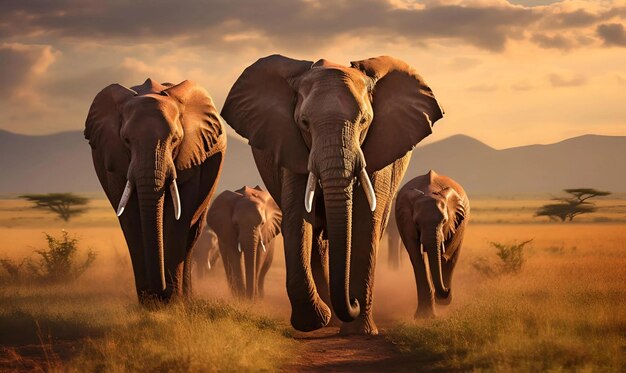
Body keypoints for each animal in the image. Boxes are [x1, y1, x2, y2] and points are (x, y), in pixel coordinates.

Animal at [84, 77, 227, 302]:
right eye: (126, 140)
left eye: (175, 139)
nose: (160, 291)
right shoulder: (114, 158)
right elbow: (132, 220)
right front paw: (149, 302)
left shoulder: (192, 155)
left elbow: (178, 220)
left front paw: (172, 302)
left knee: (192, 236)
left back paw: (186, 298)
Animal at [222, 53, 442, 334]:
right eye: (304, 123)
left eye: (364, 121)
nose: (353, 302)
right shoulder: (291, 146)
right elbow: (297, 218)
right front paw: (315, 321)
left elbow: (365, 222)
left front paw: (359, 331)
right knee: (317, 237)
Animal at [394, 170, 468, 318]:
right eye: (417, 223)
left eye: (444, 221)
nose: (448, 290)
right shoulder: (405, 222)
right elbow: (418, 258)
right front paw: (424, 317)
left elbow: (445, 256)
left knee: (451, 258)